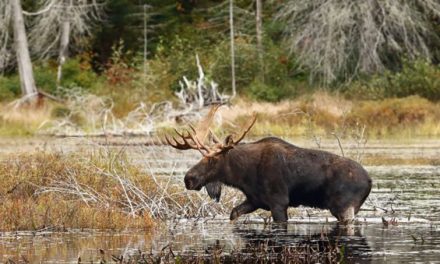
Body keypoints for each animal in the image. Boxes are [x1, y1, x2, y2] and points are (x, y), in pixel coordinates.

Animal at [165, 104, 372, 223]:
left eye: (213, 159)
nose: (188, 179)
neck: (243, 175)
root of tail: (370, 181)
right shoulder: (255, 200)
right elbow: (233, 214)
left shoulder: (279, 201)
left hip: (344, 207)